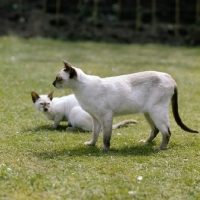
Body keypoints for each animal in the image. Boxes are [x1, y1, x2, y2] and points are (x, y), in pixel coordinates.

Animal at [52, 60, 198, 150]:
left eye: (58, 79)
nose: (53, 83)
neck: (80, 90)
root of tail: (169, 77)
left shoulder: (106, 116)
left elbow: (106, 136)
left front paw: (104, 149)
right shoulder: (95, 118)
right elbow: (95, 134)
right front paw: (91, 144)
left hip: (156, 111)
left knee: (167, 132)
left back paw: (160, 148)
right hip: (148, 113)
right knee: (156, 130)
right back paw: (145, 142)